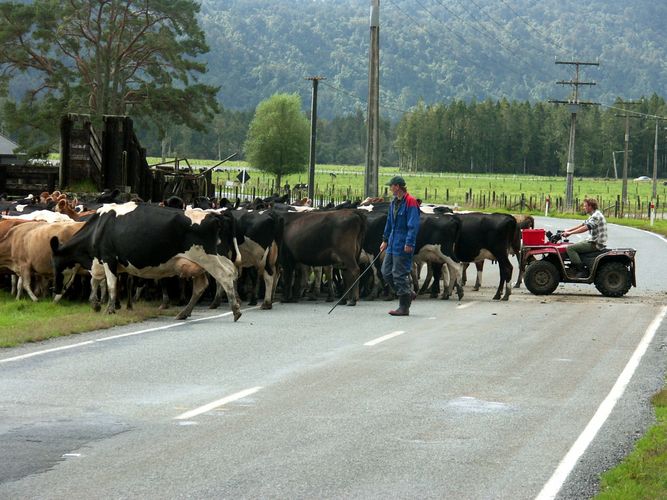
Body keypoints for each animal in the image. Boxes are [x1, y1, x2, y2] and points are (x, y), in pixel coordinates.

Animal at [50, 202, 243, 320]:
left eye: (56, 265)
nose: (55, 292)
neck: (99, 226)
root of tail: (214, 214)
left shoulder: (108, 258)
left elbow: (111, 285)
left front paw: (109, 309)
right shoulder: (101, 262)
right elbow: (95, 282)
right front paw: (95, 303)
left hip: (209, 258)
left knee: (225, 276)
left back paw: (236, 310)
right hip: (198, 264)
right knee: (203, 285)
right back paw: (184, 313)